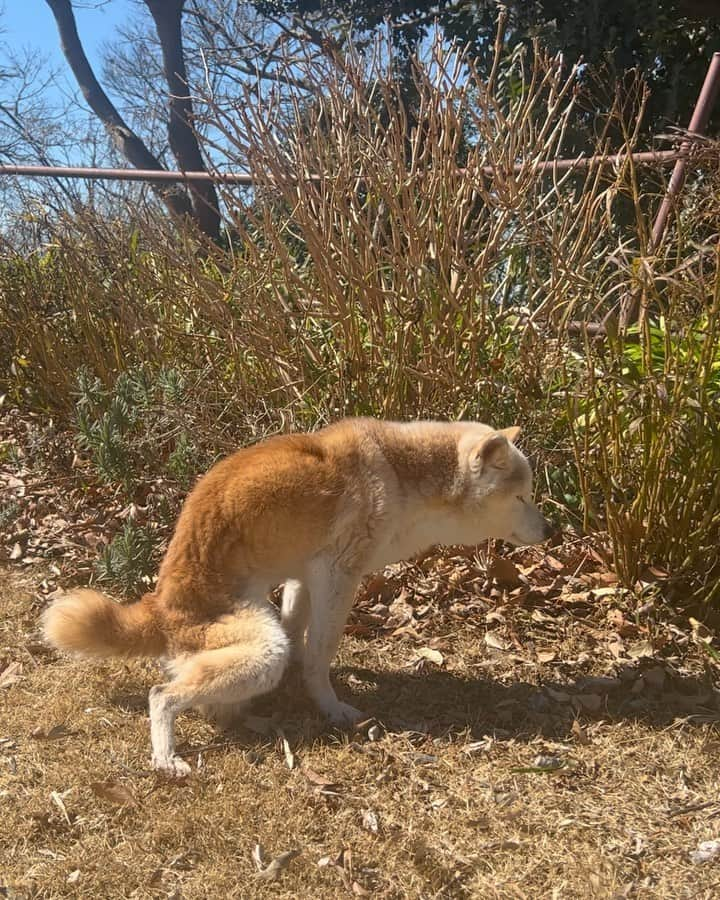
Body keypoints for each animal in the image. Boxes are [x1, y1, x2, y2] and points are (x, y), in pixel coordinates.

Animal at [43, 418, 552, 776]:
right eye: (522, 498)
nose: (553, 531)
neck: (401, 470)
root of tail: (162, 607)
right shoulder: (337, 575)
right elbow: (319, 653)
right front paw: (331, 707)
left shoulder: (304, 576)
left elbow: (301, 641)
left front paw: (296, 691)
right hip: (259, 649)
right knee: (163, 695)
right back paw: (168, 755)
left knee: (212, 698)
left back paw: (252, 717)